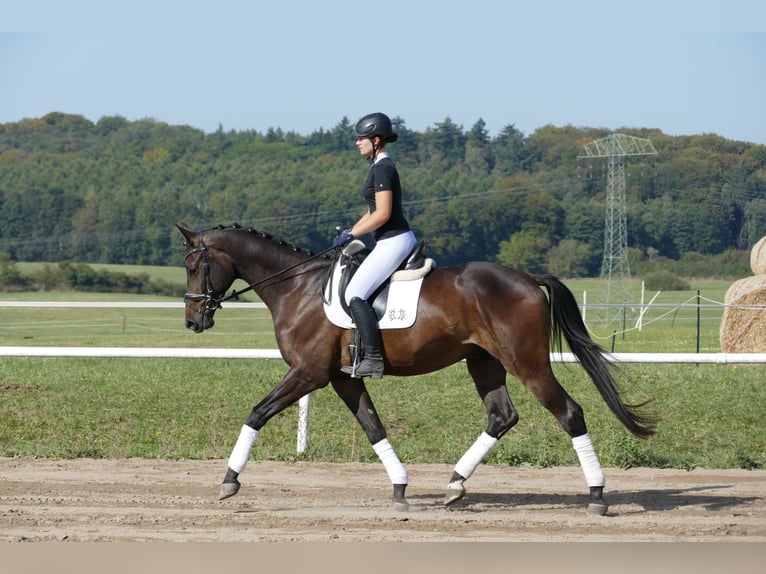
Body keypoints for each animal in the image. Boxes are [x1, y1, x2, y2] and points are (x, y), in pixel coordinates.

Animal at [178, 223, 656, 516]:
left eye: (193, 265)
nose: (193, 321)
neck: (297, 287)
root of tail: (526, 277)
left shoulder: (308, 374)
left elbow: (256, 413)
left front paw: (229, 481)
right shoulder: (341, 378)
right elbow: (373, 427)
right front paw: (400, 489)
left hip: (528, 363)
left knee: (569, 413)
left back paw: (597, 496)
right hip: (484, 362)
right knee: (502, 416)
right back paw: (455, 485)